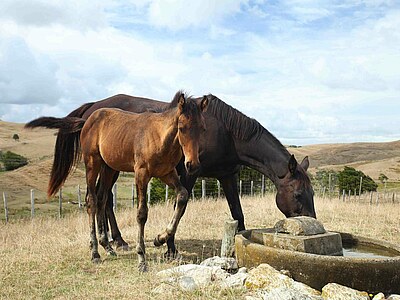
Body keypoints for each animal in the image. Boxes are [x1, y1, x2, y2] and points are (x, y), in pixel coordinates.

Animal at [25, 91, 208, 270]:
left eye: (203, 128)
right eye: (182, 128)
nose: (193, 165)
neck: (159, 137)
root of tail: (87, 120)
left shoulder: (166, 173)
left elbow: (182, 196)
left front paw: (159, 238)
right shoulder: (141, 174)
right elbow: (142, 213)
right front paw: (141, 259)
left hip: (109, 168)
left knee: (102, 198)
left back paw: (107, 246)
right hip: (93, 163)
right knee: (91, 201)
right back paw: (95, 253)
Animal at [27, 93, 316, 255]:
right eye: (298, 194)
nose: (312, 224)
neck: (226, 132)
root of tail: (93, 108)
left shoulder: (227, 175)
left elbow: (237, 212)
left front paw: (238, 245)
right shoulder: (187, 173)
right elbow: (182, 205)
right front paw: (167, 245)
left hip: (111, 166)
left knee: (102, 198)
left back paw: (112, 242)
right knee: (102, 199)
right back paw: (114, 242)